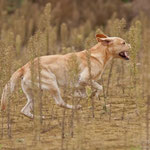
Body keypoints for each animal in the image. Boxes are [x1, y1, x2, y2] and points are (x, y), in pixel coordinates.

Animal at [0, 33, 130, 118]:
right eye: (123, 42)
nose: (130, 45)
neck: (98, 55)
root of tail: (25, 67)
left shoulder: (80, 85)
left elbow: (83, 94)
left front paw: (81, 95)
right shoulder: (84, 79)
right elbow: (99, 87)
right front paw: (94, 95)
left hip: (35, 94)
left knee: (24, 110)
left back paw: (40, 118)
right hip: (52, 84)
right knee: (59, 103)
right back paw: (76, 107)